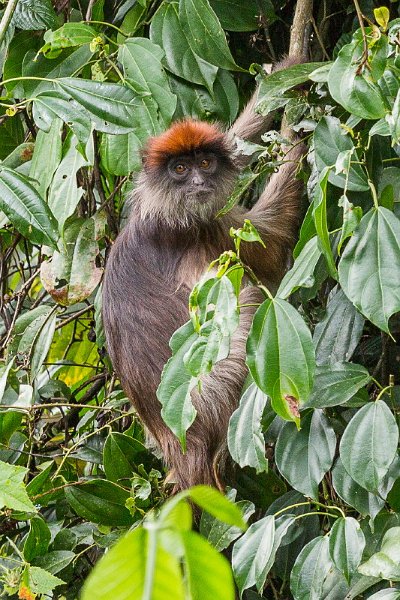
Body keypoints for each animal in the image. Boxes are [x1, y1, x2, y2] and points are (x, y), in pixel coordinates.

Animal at [102, 64, 304, 492]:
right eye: (180, 169)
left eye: (205, 164)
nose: (198, 183)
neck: (161, 212)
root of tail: (184, 449)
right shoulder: (201, 230)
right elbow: (271, 245)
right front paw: (297, 138)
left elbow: (237, 138)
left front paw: (292, 66)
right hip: (216, 392)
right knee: (247, 299)